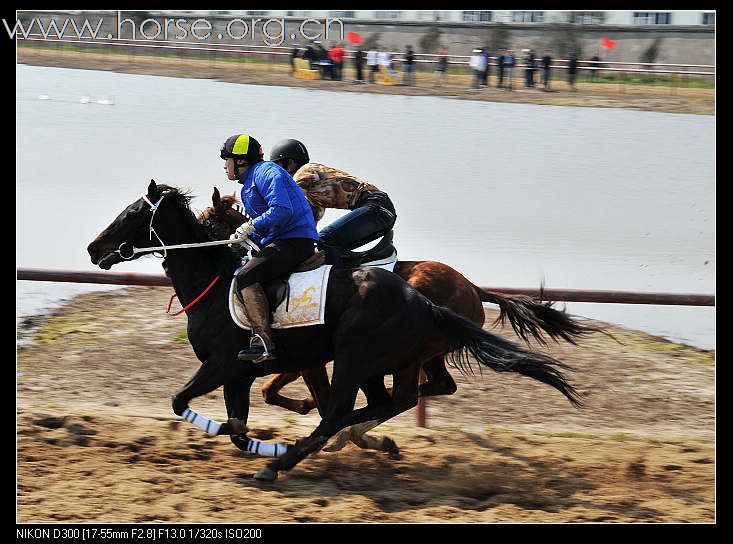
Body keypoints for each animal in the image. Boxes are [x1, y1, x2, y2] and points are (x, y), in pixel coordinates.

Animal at [196, 185, 600, 422]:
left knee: (416, 390)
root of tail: (473, 288)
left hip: (425, 348)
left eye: (210, 221)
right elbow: (271, 390)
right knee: (438, 386)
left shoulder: (310, 354)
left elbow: (280, 389)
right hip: (432, 352)